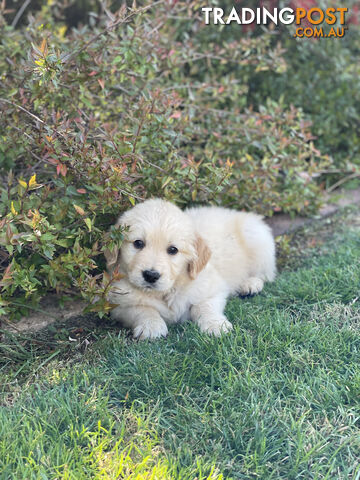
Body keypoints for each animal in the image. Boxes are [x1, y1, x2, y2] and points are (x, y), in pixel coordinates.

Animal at [105, 197, 276, 340]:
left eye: (173, 250)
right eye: (138, 243)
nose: (151, 275)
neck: (168, 290)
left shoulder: (212, 289)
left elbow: (204, 306)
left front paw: (215, 324)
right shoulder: (119, 304)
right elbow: (143, 309)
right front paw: (151, 325)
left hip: (257, 238)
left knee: (266, 274)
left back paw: (250, 284)